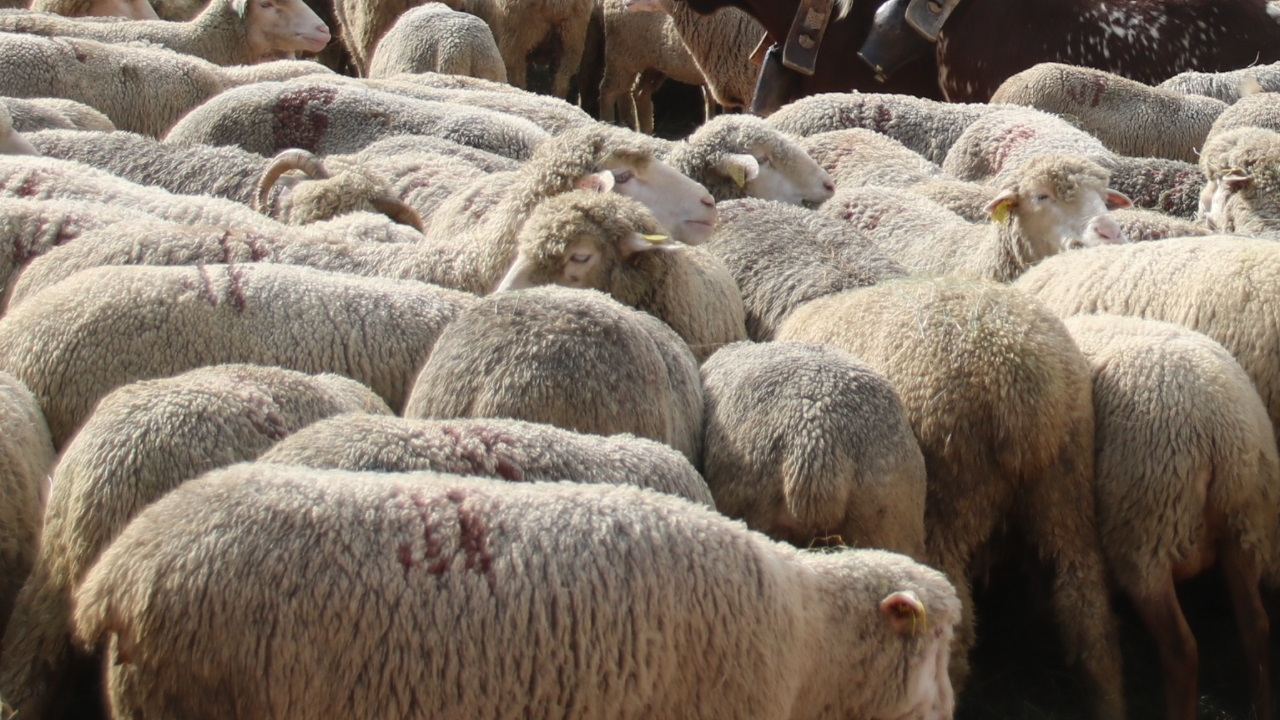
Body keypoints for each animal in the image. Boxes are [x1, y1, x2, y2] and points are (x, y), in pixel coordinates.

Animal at [775, 276, 1126, 720]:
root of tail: (1020, 385)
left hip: (952, 493)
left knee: (954, 615)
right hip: (1066, 484)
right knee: (1087, 602)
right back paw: (1109, 700)